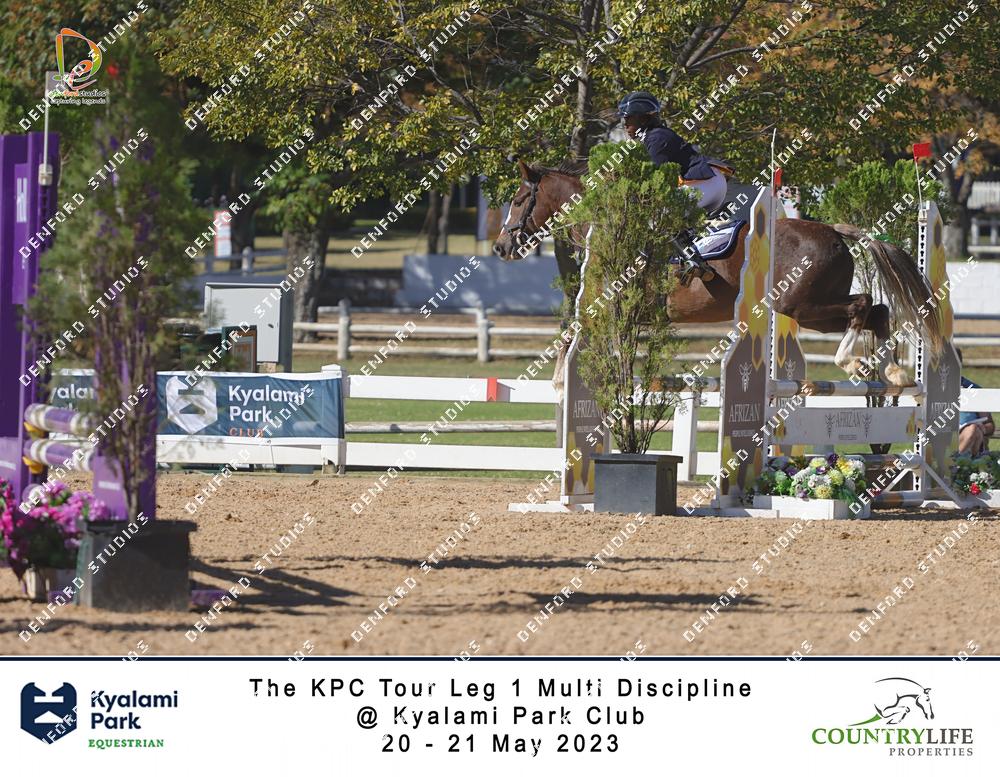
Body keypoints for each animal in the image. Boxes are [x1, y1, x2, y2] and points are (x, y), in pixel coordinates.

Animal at [492, 160, 945, 392]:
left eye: (518, 199)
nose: (499, 247)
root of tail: (833, 231)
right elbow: (573, 331)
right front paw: (562, 379)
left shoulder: (612, 305)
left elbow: (573, 331)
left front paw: (559, 379)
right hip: (810, 311)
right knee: (877, 312)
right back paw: (893, 373)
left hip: (797, 302)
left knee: (863, 304)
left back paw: (851, 363)